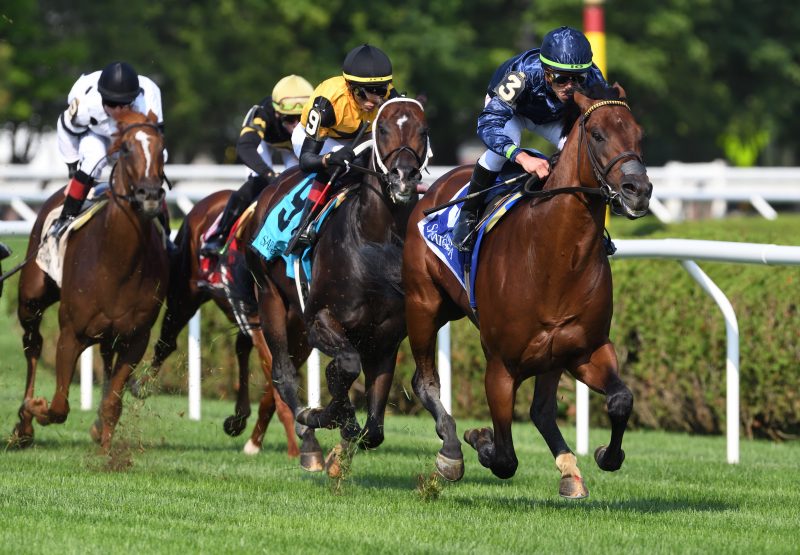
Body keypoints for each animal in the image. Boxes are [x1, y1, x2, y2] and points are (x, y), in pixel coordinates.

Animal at [11, 111, 171, 454]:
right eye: (126, 148)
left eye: (161, 148)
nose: (150, 195)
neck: (117, 263)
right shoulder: (70, 334)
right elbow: (59, 406)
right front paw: (34, 406)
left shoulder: (135, 339)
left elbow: (113, 401)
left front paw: (105, 448)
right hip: (31, 299)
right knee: (33, 345)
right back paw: (24, 427)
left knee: (106, 363)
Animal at [134, 189, 296, 458]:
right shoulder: (260, 321)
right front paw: (296, 444)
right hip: (184, 296)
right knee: (167, 342)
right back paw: (139, 385)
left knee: (240, 346)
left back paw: (239, 417)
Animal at [404, 86, 652, 500]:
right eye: (598, 135)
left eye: (639, 134)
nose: (639, 191)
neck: (555, 258)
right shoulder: (500, 365)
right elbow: (505, 457)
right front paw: (480, 439)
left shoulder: (586, 350)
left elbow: (621, 399)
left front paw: (606, 454)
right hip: (423, 306)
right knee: (424, 382)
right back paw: (451, 451)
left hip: (549, 356)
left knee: (541, 410)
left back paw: (570, 471)